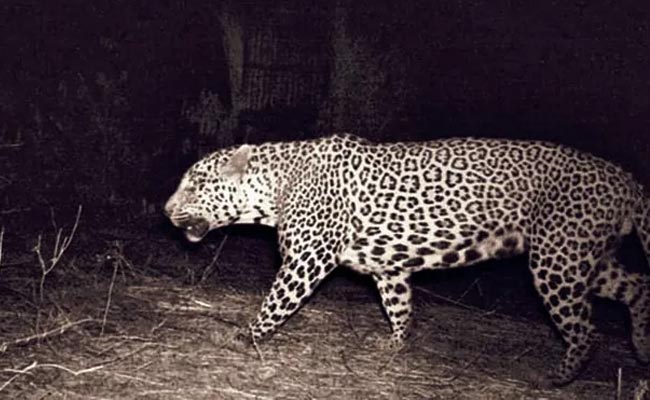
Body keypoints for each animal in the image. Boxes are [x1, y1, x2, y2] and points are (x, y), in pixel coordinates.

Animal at [164, 133, 650, 385]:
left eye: (195, 184)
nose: (166, 211)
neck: (273, 188)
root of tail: (627, 180)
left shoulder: (306, 259)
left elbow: (274, 303)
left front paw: (243, 336)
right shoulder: (389, 268)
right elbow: (400, 306)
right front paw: (395, 345)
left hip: (558, 260)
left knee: (586, 330)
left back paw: (559, 376)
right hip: (584, 258)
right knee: (638, 287)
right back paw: (642, 349)